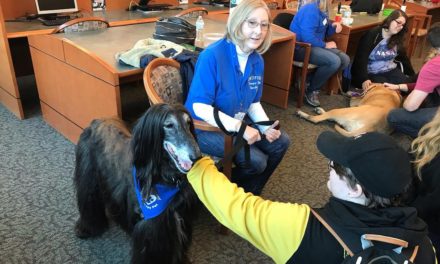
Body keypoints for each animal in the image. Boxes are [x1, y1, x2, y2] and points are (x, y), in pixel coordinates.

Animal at [73, 104, 201, 262]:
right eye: (169, 125)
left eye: (189, 123)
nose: (197, 157)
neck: (162, 179)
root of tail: (98, 120)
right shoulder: (150, 230)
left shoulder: (181, 218)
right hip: (88, 173)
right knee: (88, 198)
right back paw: (88, 228)